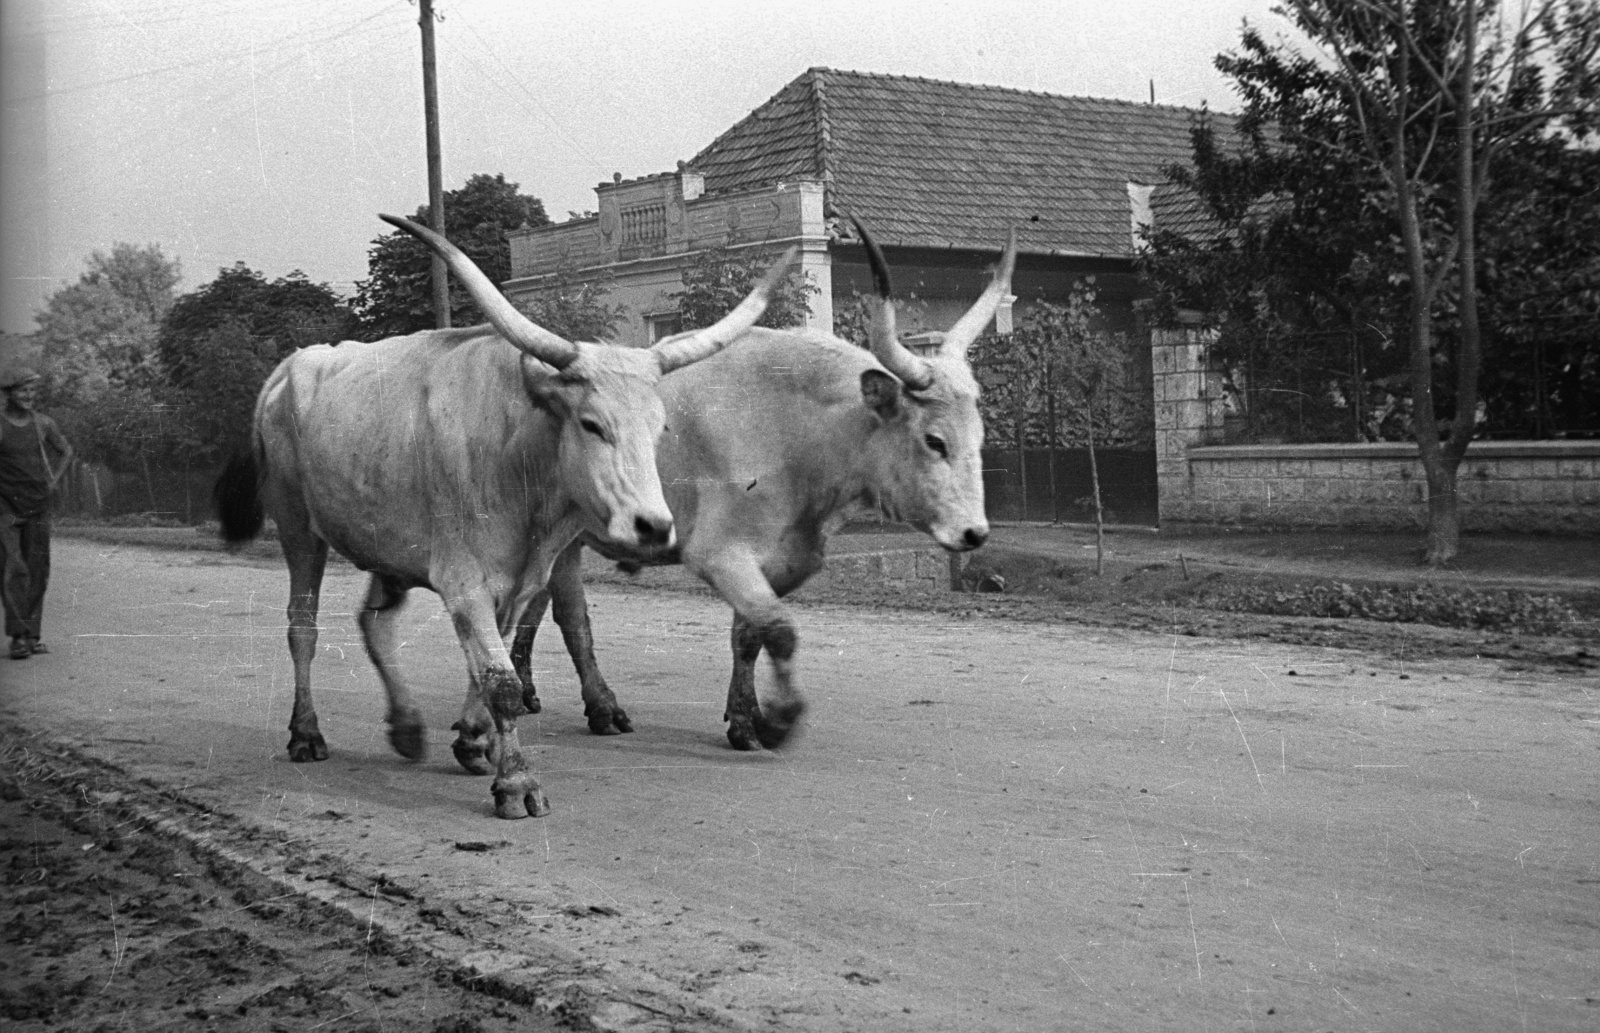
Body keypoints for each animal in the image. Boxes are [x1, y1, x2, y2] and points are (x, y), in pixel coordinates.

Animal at [212, 219, 800, 818]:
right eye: (591, 423)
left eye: (660, 427)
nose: (653, 527)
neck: (520, 462)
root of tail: (291, 366)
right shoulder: (464, 580)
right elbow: (504, 683)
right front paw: (516, 782)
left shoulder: (522, 580)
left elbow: (496, 663)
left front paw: (475, 740)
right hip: (298, 529)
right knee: (301, 627)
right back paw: (306, 733)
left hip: (386, 542)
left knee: (374, 621)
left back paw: (406, 727)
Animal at [505, 219, 1017, 751]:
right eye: (934, 440)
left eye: (979, 436)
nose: (975, 533)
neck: (790, 430)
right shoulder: (720, 553)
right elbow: (781, 630)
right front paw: (777, 718)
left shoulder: (783, 561)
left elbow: (751, 634)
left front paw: (745, 718)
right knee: (571, 617)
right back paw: (598, 706)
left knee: (540, 604)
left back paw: (531, 687)